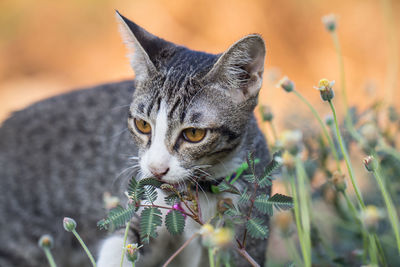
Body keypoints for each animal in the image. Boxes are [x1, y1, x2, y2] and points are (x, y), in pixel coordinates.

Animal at [0, 11, 270, 267]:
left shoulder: (247, 231)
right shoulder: (147, 210)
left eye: (194, 134)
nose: (156, 169)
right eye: (142, 125)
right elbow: (123, 243)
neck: (200, 191)